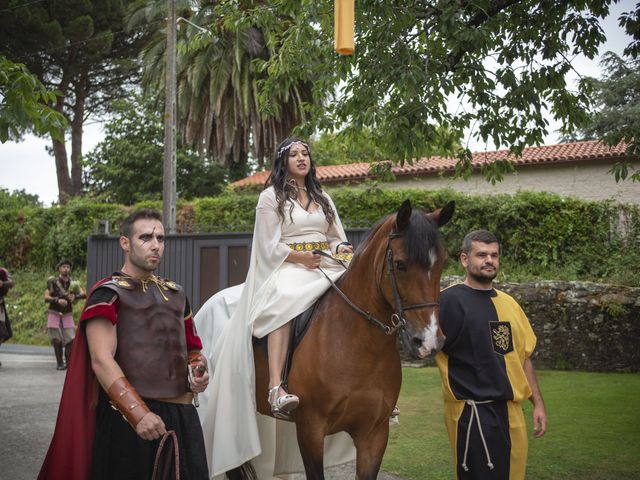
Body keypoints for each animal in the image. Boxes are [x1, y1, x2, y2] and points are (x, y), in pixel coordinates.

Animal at [248, 200, 452, 480]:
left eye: (442, 263)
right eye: (401, 264)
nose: (429, 341)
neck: (357, 344)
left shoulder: (374, 433)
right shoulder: (310, 429)